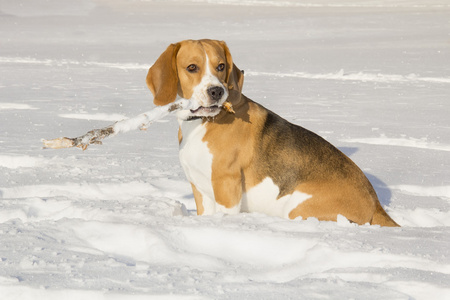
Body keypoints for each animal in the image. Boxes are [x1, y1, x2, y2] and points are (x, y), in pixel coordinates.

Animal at [146, 40, 400, 227]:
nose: (217, 91)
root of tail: (376, 203)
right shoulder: (200, 189)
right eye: (192, 67)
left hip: (298, 208)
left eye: (221, 66)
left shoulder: (226, 186)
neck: (201, 122)